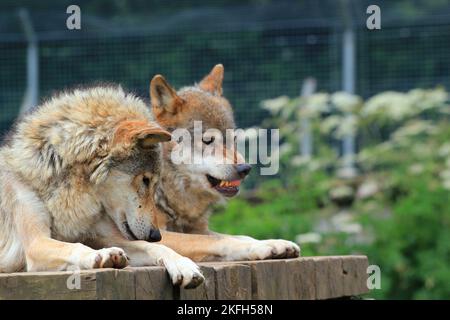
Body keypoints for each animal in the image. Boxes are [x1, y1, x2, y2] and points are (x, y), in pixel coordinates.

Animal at [0, 86, 204, 288]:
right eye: (145, 180)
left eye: (154, 184)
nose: (156, 234)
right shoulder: (36, 244)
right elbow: (75, 246)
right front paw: (102, 254)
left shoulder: (102, 236)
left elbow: (154, 247)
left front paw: (183, 264)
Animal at [149, 65, 300, 262]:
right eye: (207, 140)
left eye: (233, 138)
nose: (245, 169)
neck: (166, 187)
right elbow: (219, 240)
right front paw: (261, 247)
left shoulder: (199, 229)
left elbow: (239, 236)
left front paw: (274, 242)